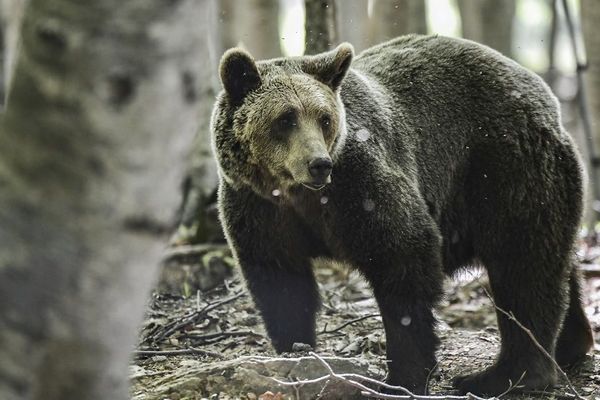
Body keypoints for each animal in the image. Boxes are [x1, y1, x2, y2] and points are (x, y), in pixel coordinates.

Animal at [209, 35, 592, 396]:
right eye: (285, 118)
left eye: (324, 118)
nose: (319, 163)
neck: (296, 193)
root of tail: (541, 91)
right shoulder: (258, 208)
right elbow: (280, 282)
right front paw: (295, 352)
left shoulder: (359, 187)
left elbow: (403, 258)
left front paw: (402, 377)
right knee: (552, 262)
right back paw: (569, 346)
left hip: (502, 167)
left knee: (522, 265)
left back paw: (504, 375)